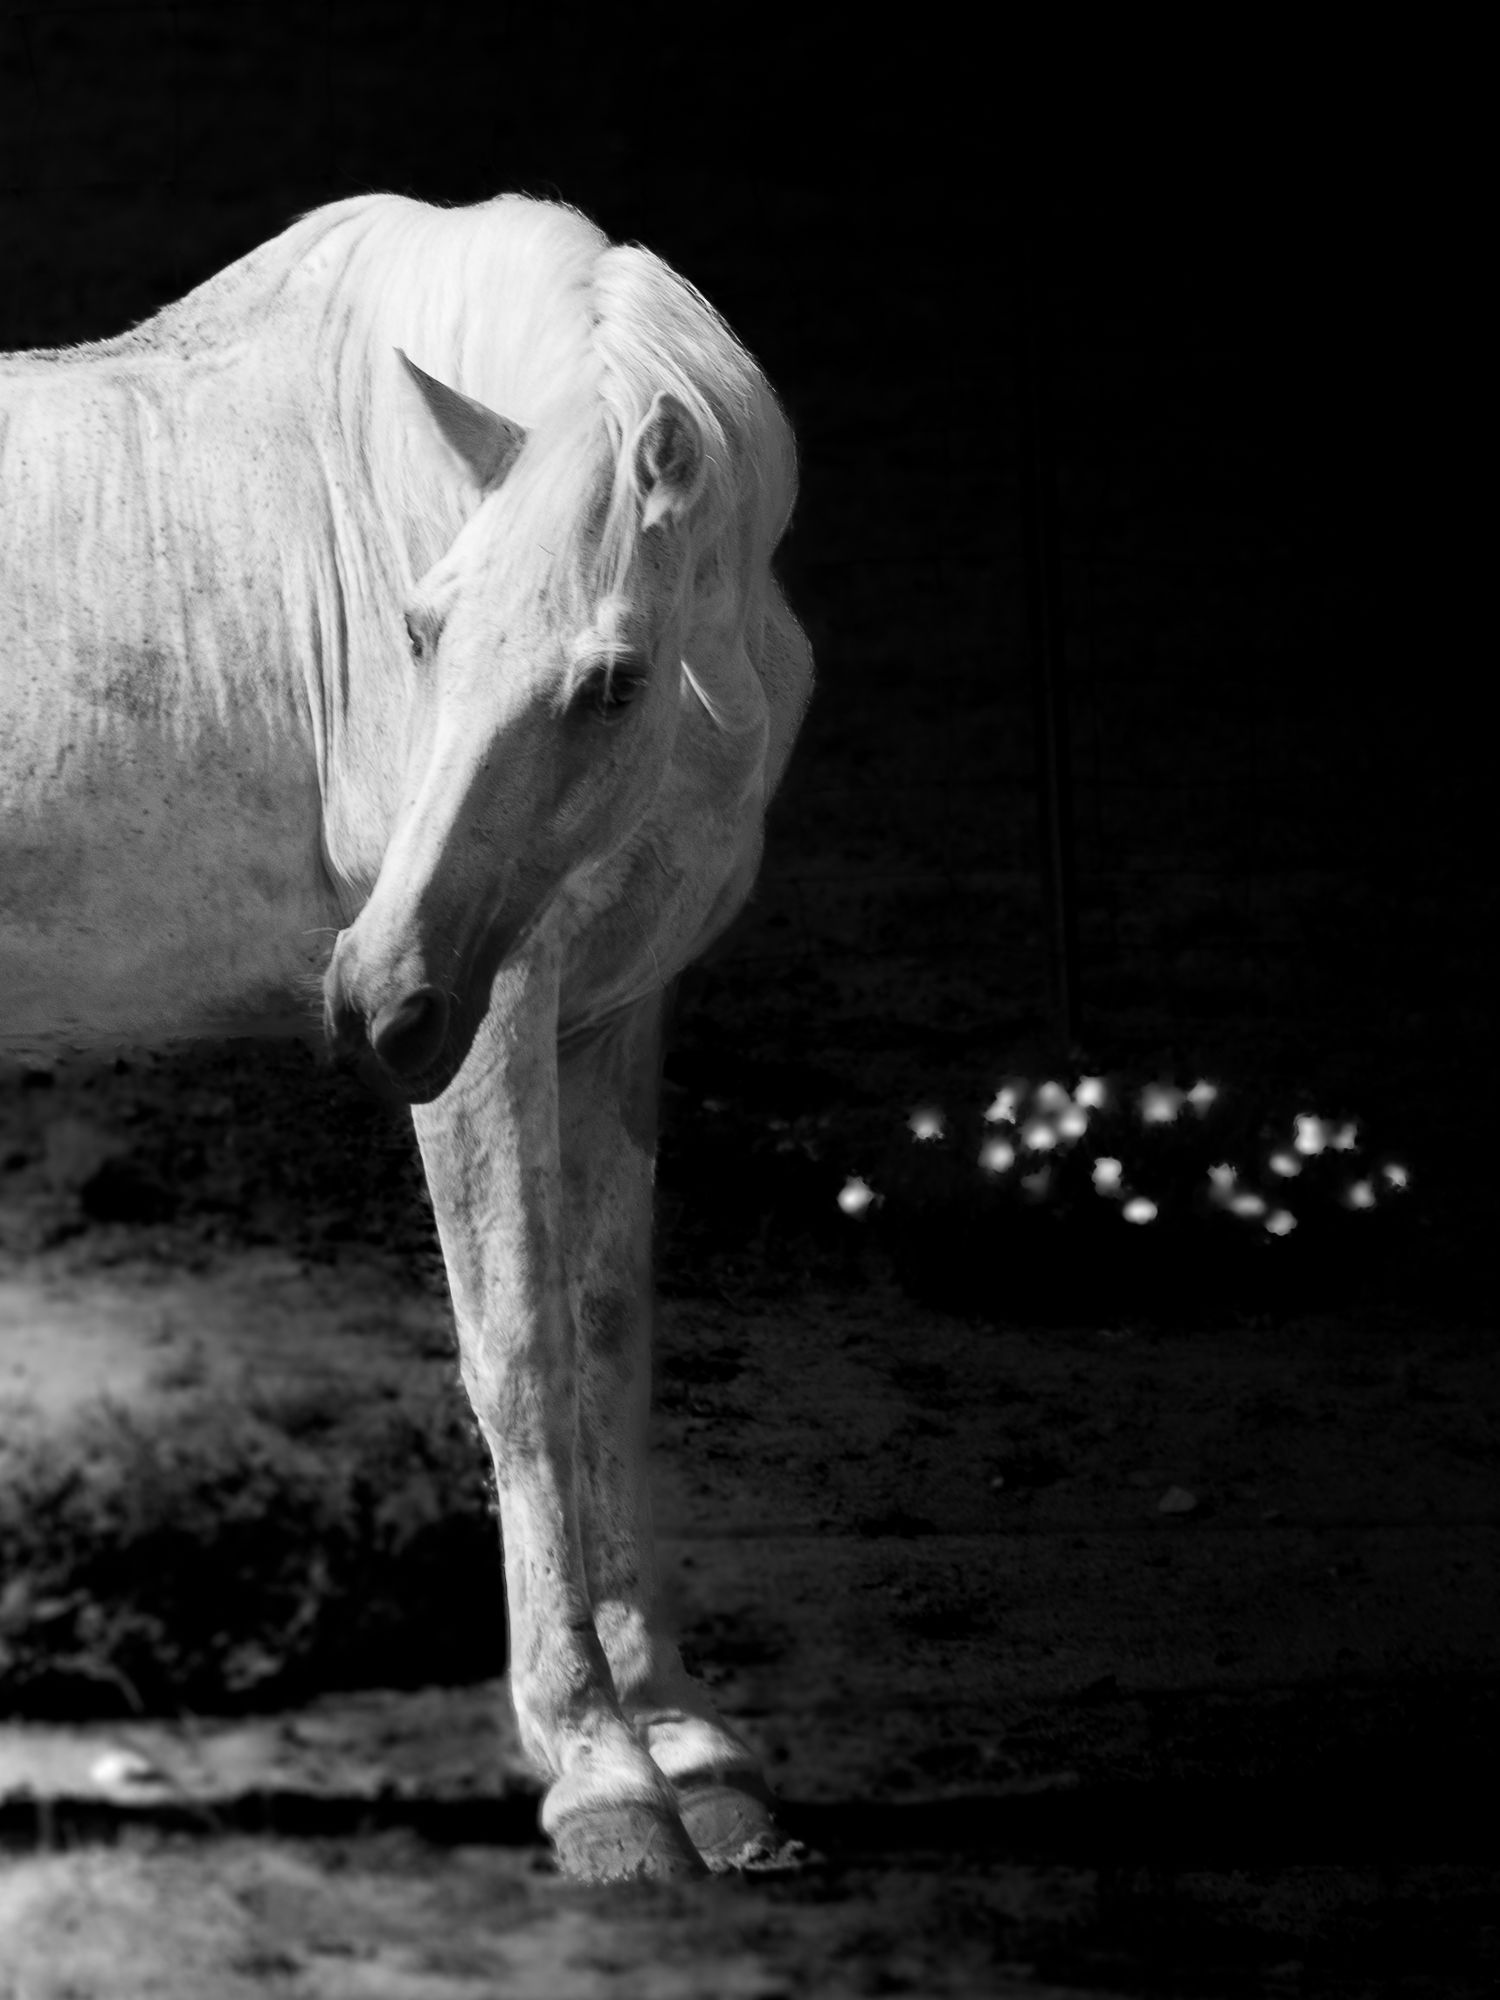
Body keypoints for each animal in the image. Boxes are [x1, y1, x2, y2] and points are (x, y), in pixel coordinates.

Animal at [0, 192, 813, 1881]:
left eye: (610, 680)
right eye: (422, 631)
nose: (373, 996)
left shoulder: (612, 1019)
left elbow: (608, 1344)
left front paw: (688, 1747)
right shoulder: (494, 1024)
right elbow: (515, 1352)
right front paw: (600, 1775)